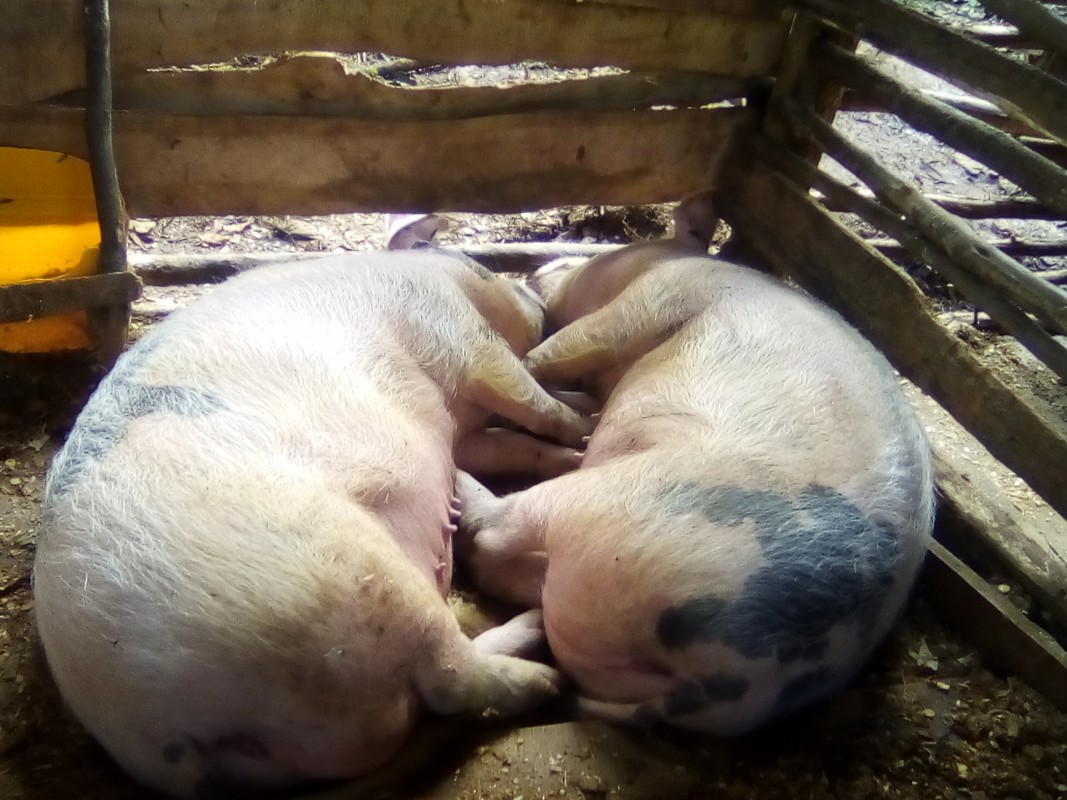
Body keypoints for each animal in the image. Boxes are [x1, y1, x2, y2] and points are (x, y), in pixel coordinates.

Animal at [32, 249, 591, 798]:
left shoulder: (464, 432)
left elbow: (507, 444)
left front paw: (575, 443)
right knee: (453, 678)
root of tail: (167, 733)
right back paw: (546, 671)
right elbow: (525, 393)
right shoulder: (458, 334)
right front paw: (584, 429)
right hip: (353, 581)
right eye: (483, 269)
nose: (531, 288)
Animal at [456, 194, 935, 735]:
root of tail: (730, 684)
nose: (542, 266)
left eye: (610, 252)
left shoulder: (656, 297)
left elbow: (563, 349)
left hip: (615, 505)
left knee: (495, 538)